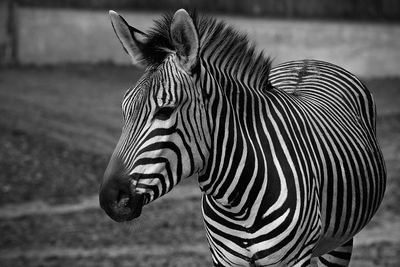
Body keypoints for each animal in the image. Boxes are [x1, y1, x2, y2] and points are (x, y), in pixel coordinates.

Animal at [98, 9, 386, 266]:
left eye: (165, 111)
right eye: (124, 109)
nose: (109, 199)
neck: (237, 203)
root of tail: (310, 60)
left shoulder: (296, 258)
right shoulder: (224, 259)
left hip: (341, 241)